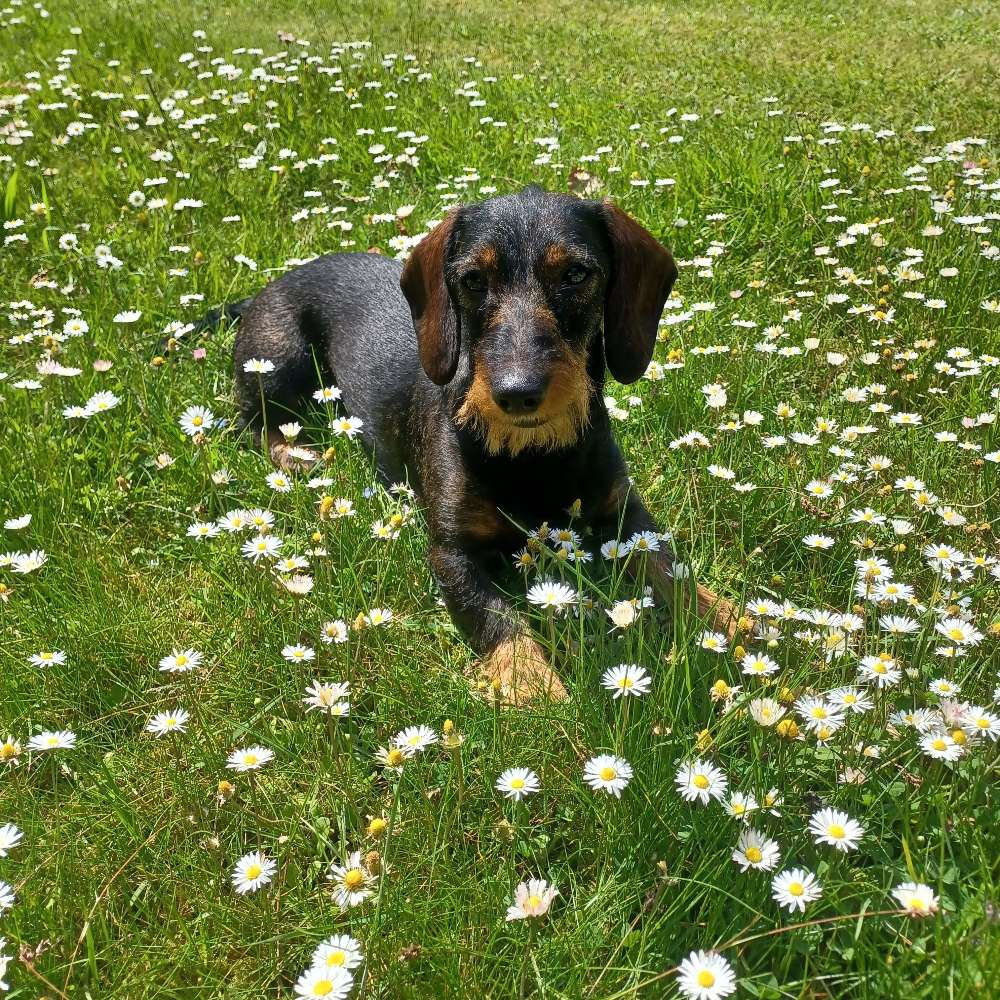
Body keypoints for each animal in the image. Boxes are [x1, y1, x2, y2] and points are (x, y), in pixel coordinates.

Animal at [209, 188, 736, 704]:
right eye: (473, 280)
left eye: (576, 274)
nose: (517, 393)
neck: (533, 455)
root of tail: (265, 289)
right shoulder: (451, 554)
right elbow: (496, 617)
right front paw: (533, 686)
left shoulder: (625, 515)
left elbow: (670, 567)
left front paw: (730, 616)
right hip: (279, 363)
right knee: (250, 422)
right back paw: (296, 456)